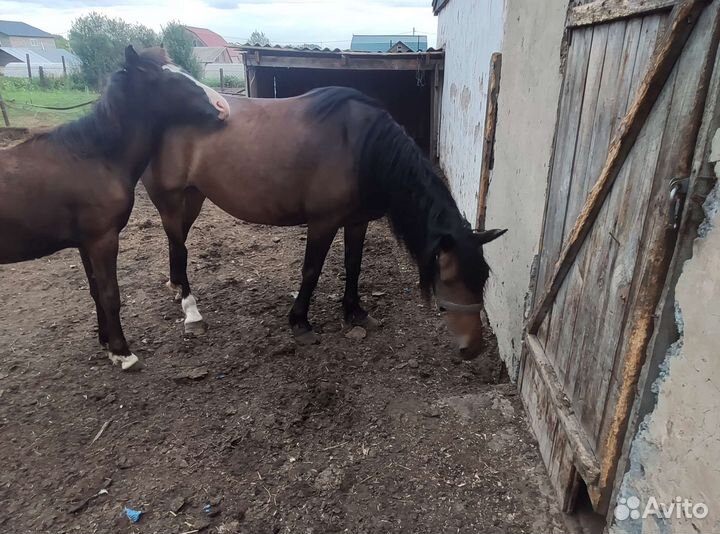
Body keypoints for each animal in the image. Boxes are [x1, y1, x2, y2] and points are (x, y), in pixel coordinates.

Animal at [0, 46, 230, 371]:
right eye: (169, 79)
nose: (223, 106)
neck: (92, 158)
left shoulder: (84, 243)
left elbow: (96, 290)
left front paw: (107, 343)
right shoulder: (102, 240)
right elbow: (110, 294)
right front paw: (123, 352)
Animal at [143, 87, 506, 360]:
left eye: (483, 278)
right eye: (449, 277)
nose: (474, 347)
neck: (362, 148)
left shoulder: (357, 221)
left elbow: (354, 265)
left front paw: (355, 312)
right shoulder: (323, 222)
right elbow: (311, 271)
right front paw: (300, 322)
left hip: (193, 197)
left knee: (178, 243)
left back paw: (177, 290)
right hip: (170, 200)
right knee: (177, 244)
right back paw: (191, 311)